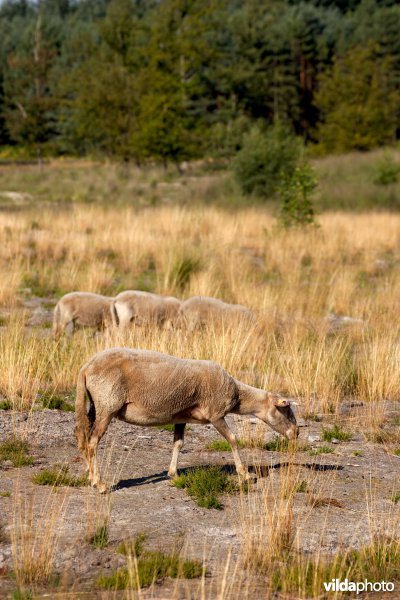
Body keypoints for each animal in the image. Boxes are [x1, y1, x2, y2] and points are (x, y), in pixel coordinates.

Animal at [76, 346, 300, 492]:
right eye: (287, 411)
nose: (297, 433)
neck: (237, 395)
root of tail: (86, 367)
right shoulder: (216, 414)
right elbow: (233, 440)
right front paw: (245, 474)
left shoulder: (181, 416)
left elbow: (178, 443)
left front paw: (173, 473)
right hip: (107, 405)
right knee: (93, 441)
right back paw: (99, 483)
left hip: (95, 406)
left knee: (83, 437)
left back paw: (89, 475)